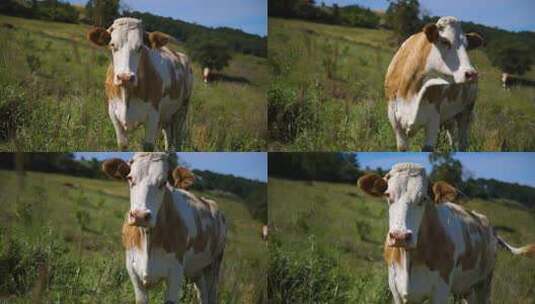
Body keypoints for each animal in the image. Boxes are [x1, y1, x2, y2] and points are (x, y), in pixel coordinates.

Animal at [88, 17, 195, 151]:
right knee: (168, 137)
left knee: (178, 138)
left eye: (140, 47)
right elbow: (122, 145)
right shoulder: (113, 113)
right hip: (167, 116)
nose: (125, 77)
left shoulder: (153, 116)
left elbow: (148, 147)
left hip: (182, 110)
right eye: (112, 45)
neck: (127, 94)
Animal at [102, 153, 226, 304]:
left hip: (214, 266)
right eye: (130, 178)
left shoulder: (176, 273)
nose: (140, 215)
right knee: (202, 294)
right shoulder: (133, 271)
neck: (148, 239)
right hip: (197, 270)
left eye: (163, 182)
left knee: (211, 293)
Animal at [358, 164, 532, 304]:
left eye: (423, 198)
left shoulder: (440, 291)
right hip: (466, 289)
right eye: (388, 195)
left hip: (484, 284)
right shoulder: (397, 292)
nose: (400, 236)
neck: (409, 258)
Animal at [386, 16, 486, 151]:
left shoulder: (433, 119)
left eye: (466, 46)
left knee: (462, 142)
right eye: (445, 41)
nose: (471, 74)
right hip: (448, 118)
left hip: (466, 111)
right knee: (451, 136)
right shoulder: (395, 122)